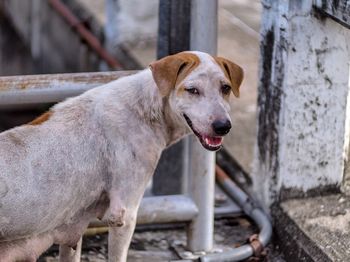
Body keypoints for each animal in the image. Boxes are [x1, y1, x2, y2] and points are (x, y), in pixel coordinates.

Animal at [0, 50, 242, 260]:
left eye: (225, 88)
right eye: (192, 90)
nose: (223, 126)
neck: (147, 108)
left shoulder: (72, 225)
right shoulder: (123, 214)